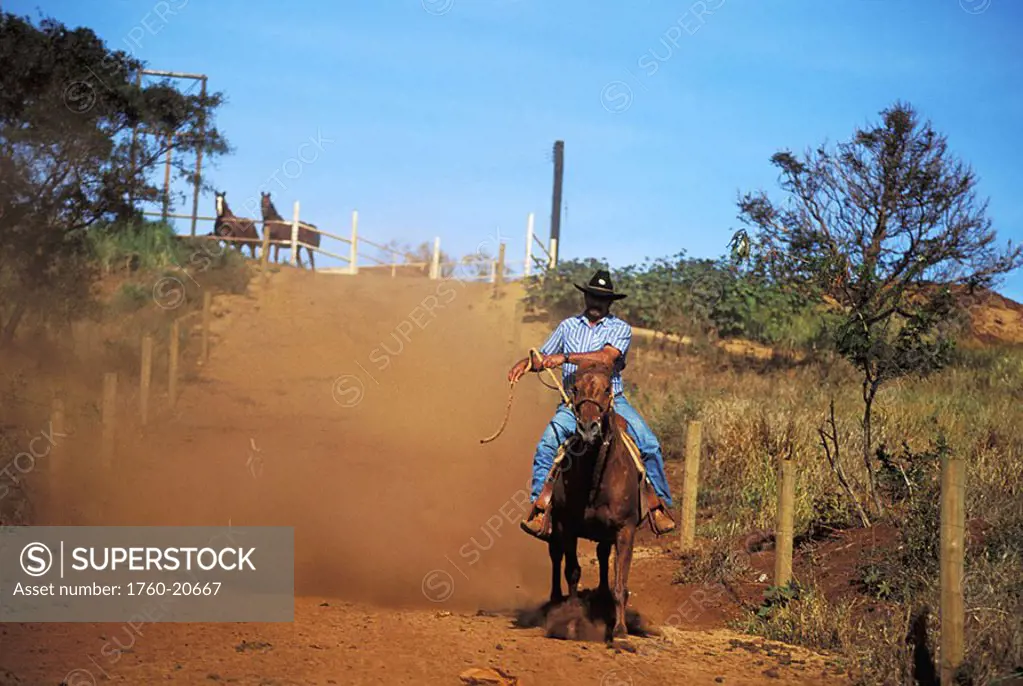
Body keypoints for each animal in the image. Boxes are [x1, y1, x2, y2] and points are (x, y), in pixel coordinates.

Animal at [548, 361, 642, 642]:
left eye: (607, 389)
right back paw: (554, 601)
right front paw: (571, 622)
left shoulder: (625, 529)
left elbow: (620, 583)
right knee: (555, 555)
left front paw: (620, 631)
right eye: (575, 388)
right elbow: (572, 571)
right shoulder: (566, 525)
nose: (588, 428)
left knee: (602, 555)